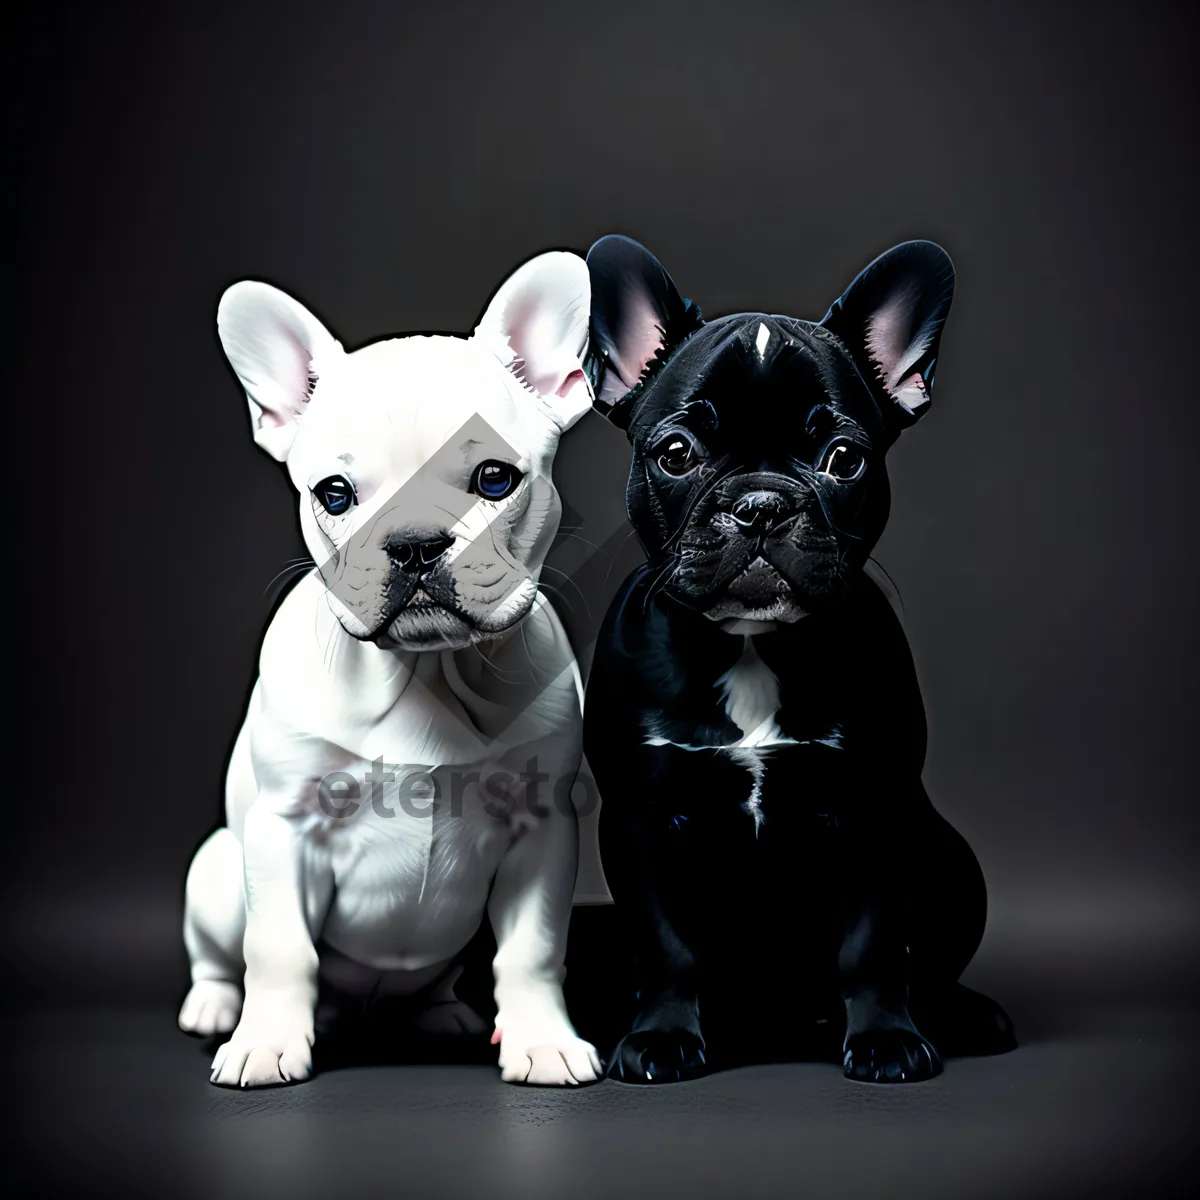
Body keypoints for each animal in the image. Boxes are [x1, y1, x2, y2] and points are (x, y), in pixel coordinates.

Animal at [180, 253, 600, 1089]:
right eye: (335, 494)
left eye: (496, 480)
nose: (412, 543)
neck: (425, 670)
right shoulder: (284, 828)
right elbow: (278, 949)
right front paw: (266, 1042)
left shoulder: (542, 830)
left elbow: (534, 950)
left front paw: (543, 1040)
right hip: (215, 871)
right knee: (220, 953)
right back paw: (214, 1008)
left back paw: (441, 1014)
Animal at [585, 236, 1017, 1089]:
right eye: (675, 453)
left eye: (844, 458)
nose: (760, 504)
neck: (752, 645)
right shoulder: (637, 817)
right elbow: (666, 945)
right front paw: (660, 1037)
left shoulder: (879, 807)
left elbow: (873, 944)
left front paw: (885, 1037)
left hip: (951, 859)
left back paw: (962, 1014)